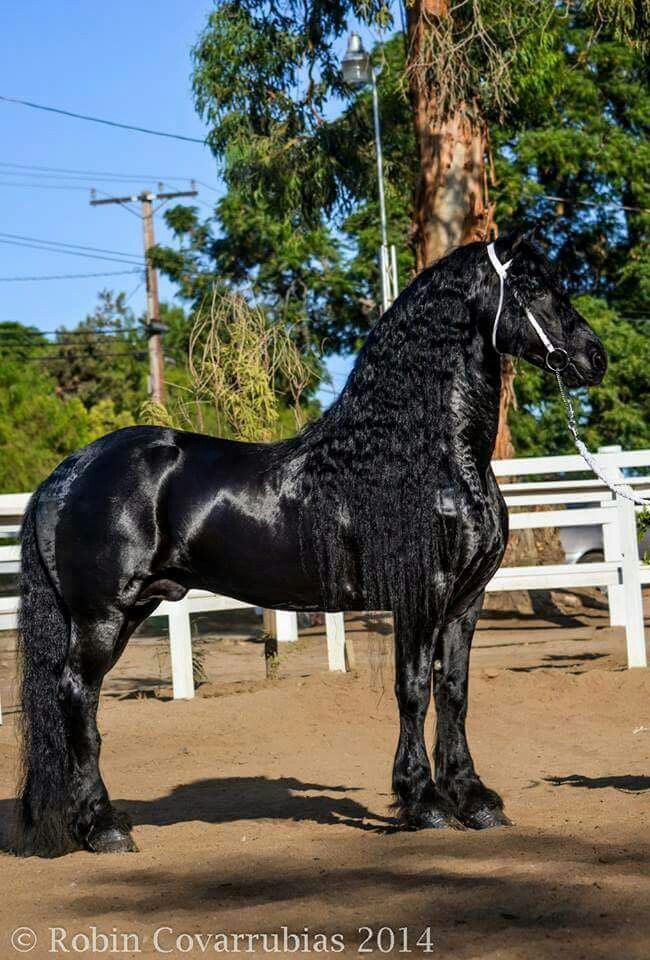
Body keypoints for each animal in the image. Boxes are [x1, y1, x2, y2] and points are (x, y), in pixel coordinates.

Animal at [13, 231, 604, 856]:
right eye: (531, 288)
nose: (595, 357)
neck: (430, 458)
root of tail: (70, 471)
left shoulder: (465, 602)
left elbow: (454, 691)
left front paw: (475, 800)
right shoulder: (420, 597)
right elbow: (413, 690)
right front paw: (424, 804)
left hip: (127, 609)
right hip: (104, 614)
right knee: (77, 695)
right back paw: (104, 827)